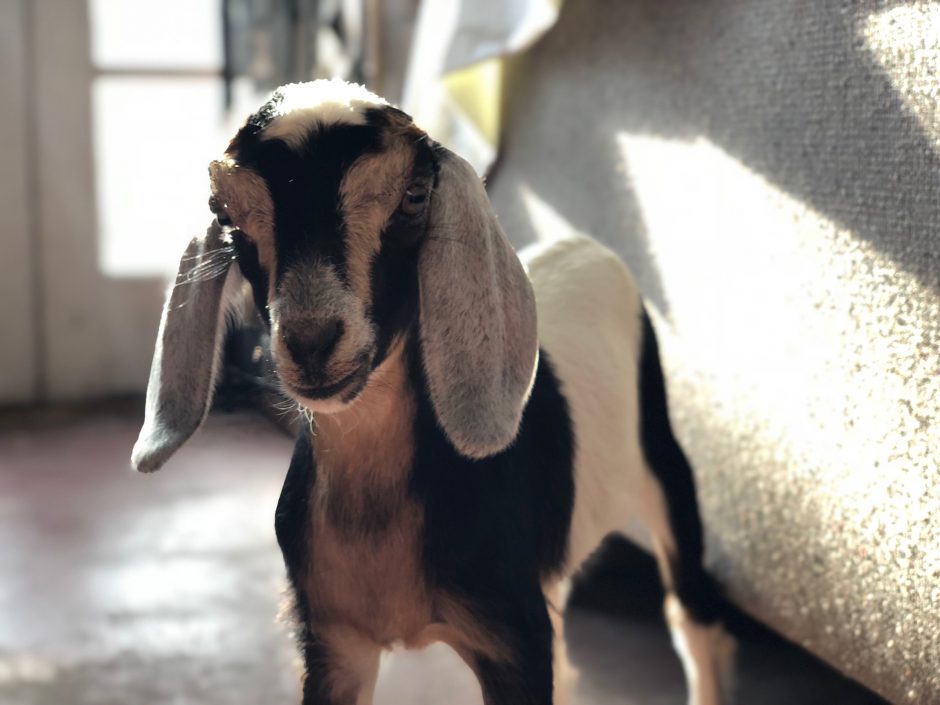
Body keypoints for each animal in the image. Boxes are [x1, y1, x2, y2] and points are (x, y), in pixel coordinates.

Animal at [131, 79, 735, 705]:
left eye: (414, 196)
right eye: (225, 213)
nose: (312, 341)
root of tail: (587, 245)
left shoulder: (513, 641)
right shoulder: (333, 641)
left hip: (667, 474)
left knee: (692, 618)